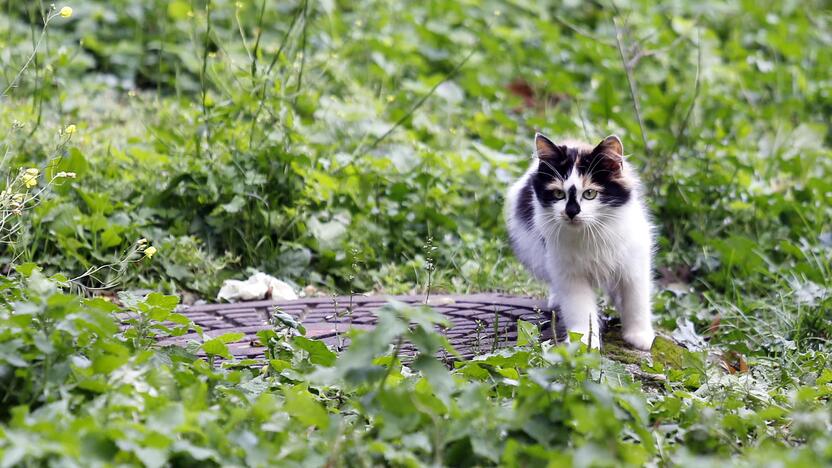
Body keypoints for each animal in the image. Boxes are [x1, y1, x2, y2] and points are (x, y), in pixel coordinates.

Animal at [508, 133, 656, 350]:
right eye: (558, 194)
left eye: (590, 194)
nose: (571, 212)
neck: (591, 233)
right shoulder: (570, 274)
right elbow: (580, 309)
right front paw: (584, 341)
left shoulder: (634, 264)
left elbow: (636, 301)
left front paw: (639, 336)